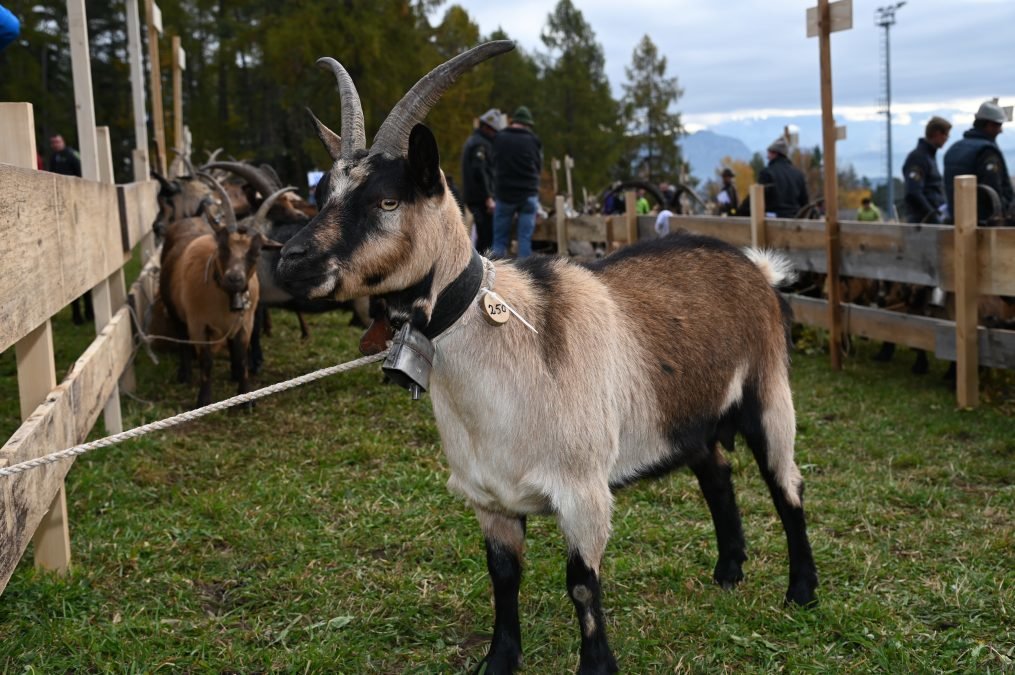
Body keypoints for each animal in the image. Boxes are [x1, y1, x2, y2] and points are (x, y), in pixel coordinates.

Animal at [274, 43, 820, 673]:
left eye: (388, 200)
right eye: (321, 196)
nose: (290, 261)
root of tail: (755, 268)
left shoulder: (583, 493)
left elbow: (581, 584)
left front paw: (597, 666)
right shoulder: (488, 498)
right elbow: (502, 578)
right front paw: (498, 661)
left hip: (769, 393)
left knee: (787, 485)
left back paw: (802, 591)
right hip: (689, 413)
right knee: (717, 473)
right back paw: (728, 571)